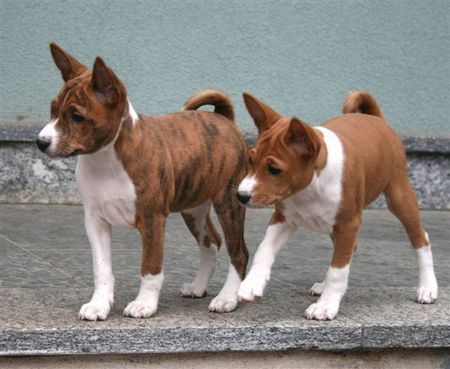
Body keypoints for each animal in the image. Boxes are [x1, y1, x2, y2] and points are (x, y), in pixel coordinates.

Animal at [37, 43, 250, 320]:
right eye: (53, 110)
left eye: (76, 117)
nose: (40, 142)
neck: (105, 161)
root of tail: (224, 119)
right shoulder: (95, 220)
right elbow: (101, 269)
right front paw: (99, 305)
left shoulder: (151, 219)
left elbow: (150, 268)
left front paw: (144, 304)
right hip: (193, 208)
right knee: (211, 242)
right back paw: (198, 287)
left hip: (229, 204)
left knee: (238, 253)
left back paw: (227, 298)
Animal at [237, 91, 438, 320]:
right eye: (250, 161)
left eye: (274, 170)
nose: (241, 196)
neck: (309, 190)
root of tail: (375, 119)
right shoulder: (284, 219)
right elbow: (264, 249)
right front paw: (251, 284)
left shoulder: (348, 225)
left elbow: (337, 270)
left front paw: (326, 306)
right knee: (350, 250)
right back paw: (323, 286)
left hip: (399, 198)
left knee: (421, 240)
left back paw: (428, 287)